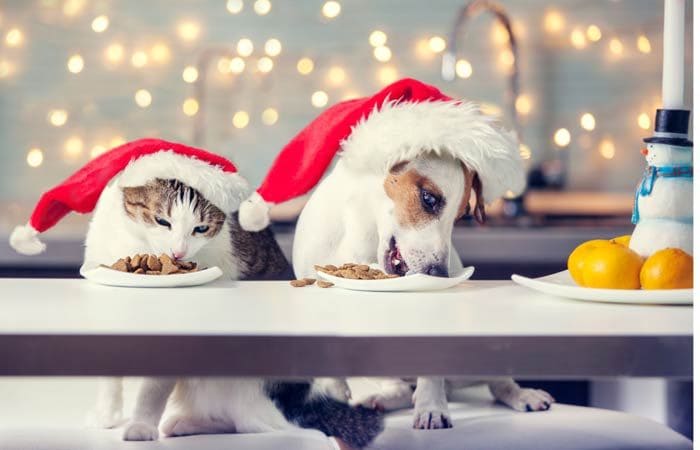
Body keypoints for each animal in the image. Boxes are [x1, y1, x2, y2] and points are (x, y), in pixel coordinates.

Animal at [87, 178, 382, 448]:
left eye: (201, 229)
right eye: (162, 221)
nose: (178, 253)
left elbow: (152, 389)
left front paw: (141, 426)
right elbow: (109, 379)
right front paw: (107, 415)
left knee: (252, 424)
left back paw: (183, 424)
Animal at [238, 79, 556, 430]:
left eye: (462, 216)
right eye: (429, 199)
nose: (439, 274)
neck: (362, 233)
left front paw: (432, 408)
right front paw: (335, 394)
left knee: (497, 382)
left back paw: (522, 395)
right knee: (401, 388)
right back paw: (377, 399)